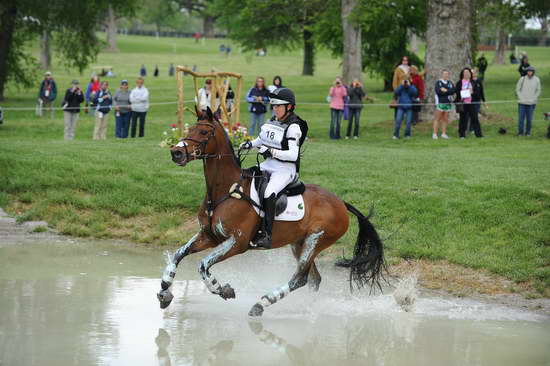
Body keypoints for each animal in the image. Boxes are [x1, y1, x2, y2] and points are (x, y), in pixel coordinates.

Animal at [157, 107, 386, 316]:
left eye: (204, 132)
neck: (225, 190)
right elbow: (178, 254)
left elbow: (203, 265)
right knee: (313, 279)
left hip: (315, 240)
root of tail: (341, 203)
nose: (176, 152)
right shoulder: (209, 236)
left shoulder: (236, 243)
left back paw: (262, 304)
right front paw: (164, 292)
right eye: (190, 129)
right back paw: (305, 309)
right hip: (299, 243)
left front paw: (223, 290)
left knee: (299, 278)